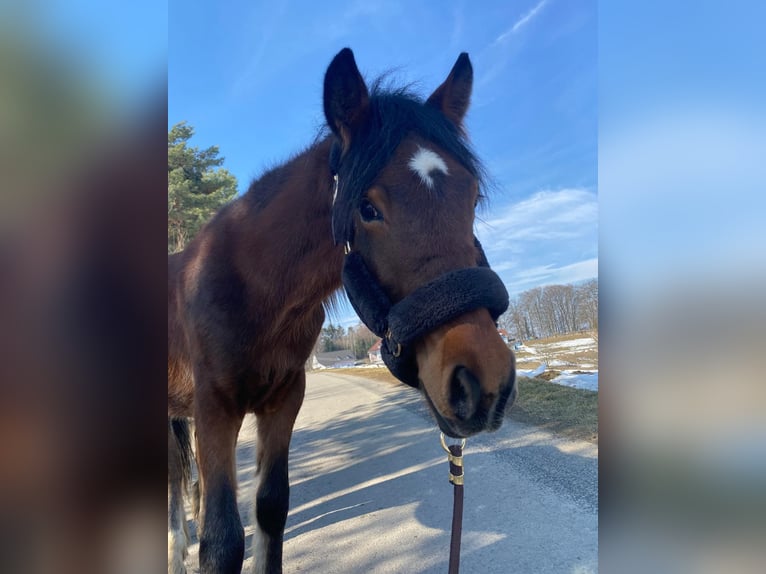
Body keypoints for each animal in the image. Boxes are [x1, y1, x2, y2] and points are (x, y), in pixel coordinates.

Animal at [168, 48, 516, 574]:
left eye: (472, 197)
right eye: (368, 208)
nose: (483, 381)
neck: (252, 292)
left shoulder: (282, 401)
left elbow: (270, 508)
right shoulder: (215, 406)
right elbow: (223, 541)